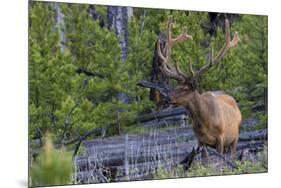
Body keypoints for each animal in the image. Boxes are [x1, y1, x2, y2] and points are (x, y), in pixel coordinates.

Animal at [158, 15, 241, 157]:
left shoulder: (221, 137)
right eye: (176, 87)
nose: (167, 98)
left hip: (234, 138)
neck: (204, 122)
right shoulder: (200, 141)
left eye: (185, 89)